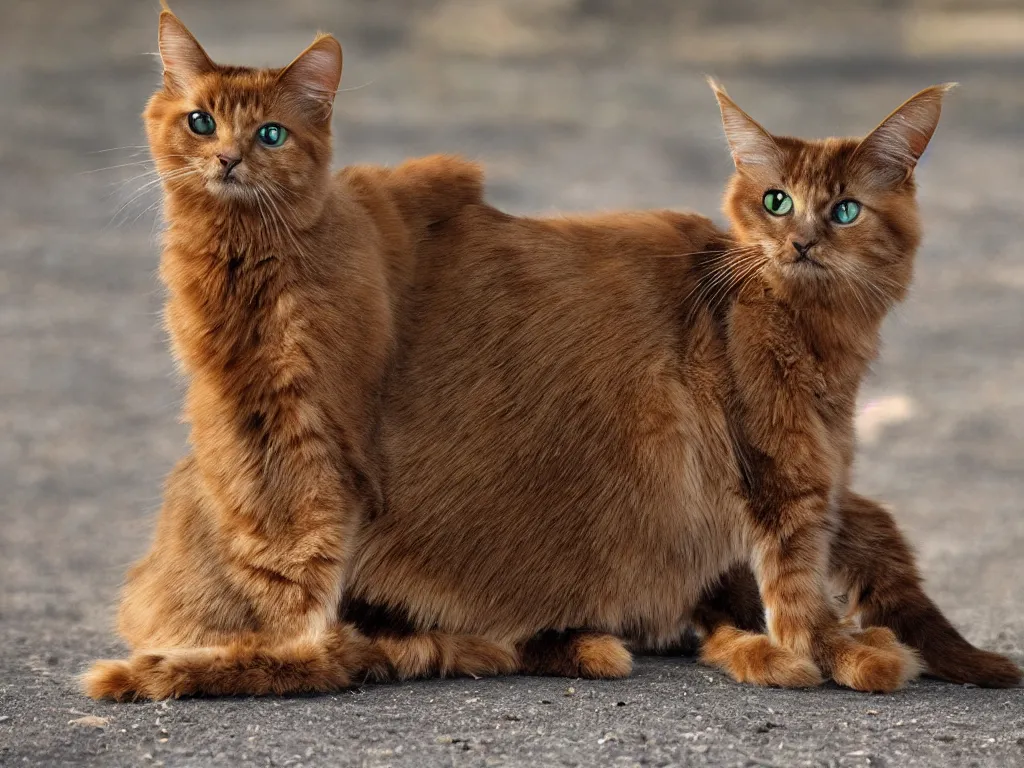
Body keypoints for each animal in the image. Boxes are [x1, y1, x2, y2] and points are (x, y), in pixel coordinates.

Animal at [83, 12, 1019, 700]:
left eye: (848, 210)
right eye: (776, 201)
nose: (800, 242)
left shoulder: (805, 473)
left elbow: (800, 579)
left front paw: (827, 651)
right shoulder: (783, 468)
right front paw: (810, 656)